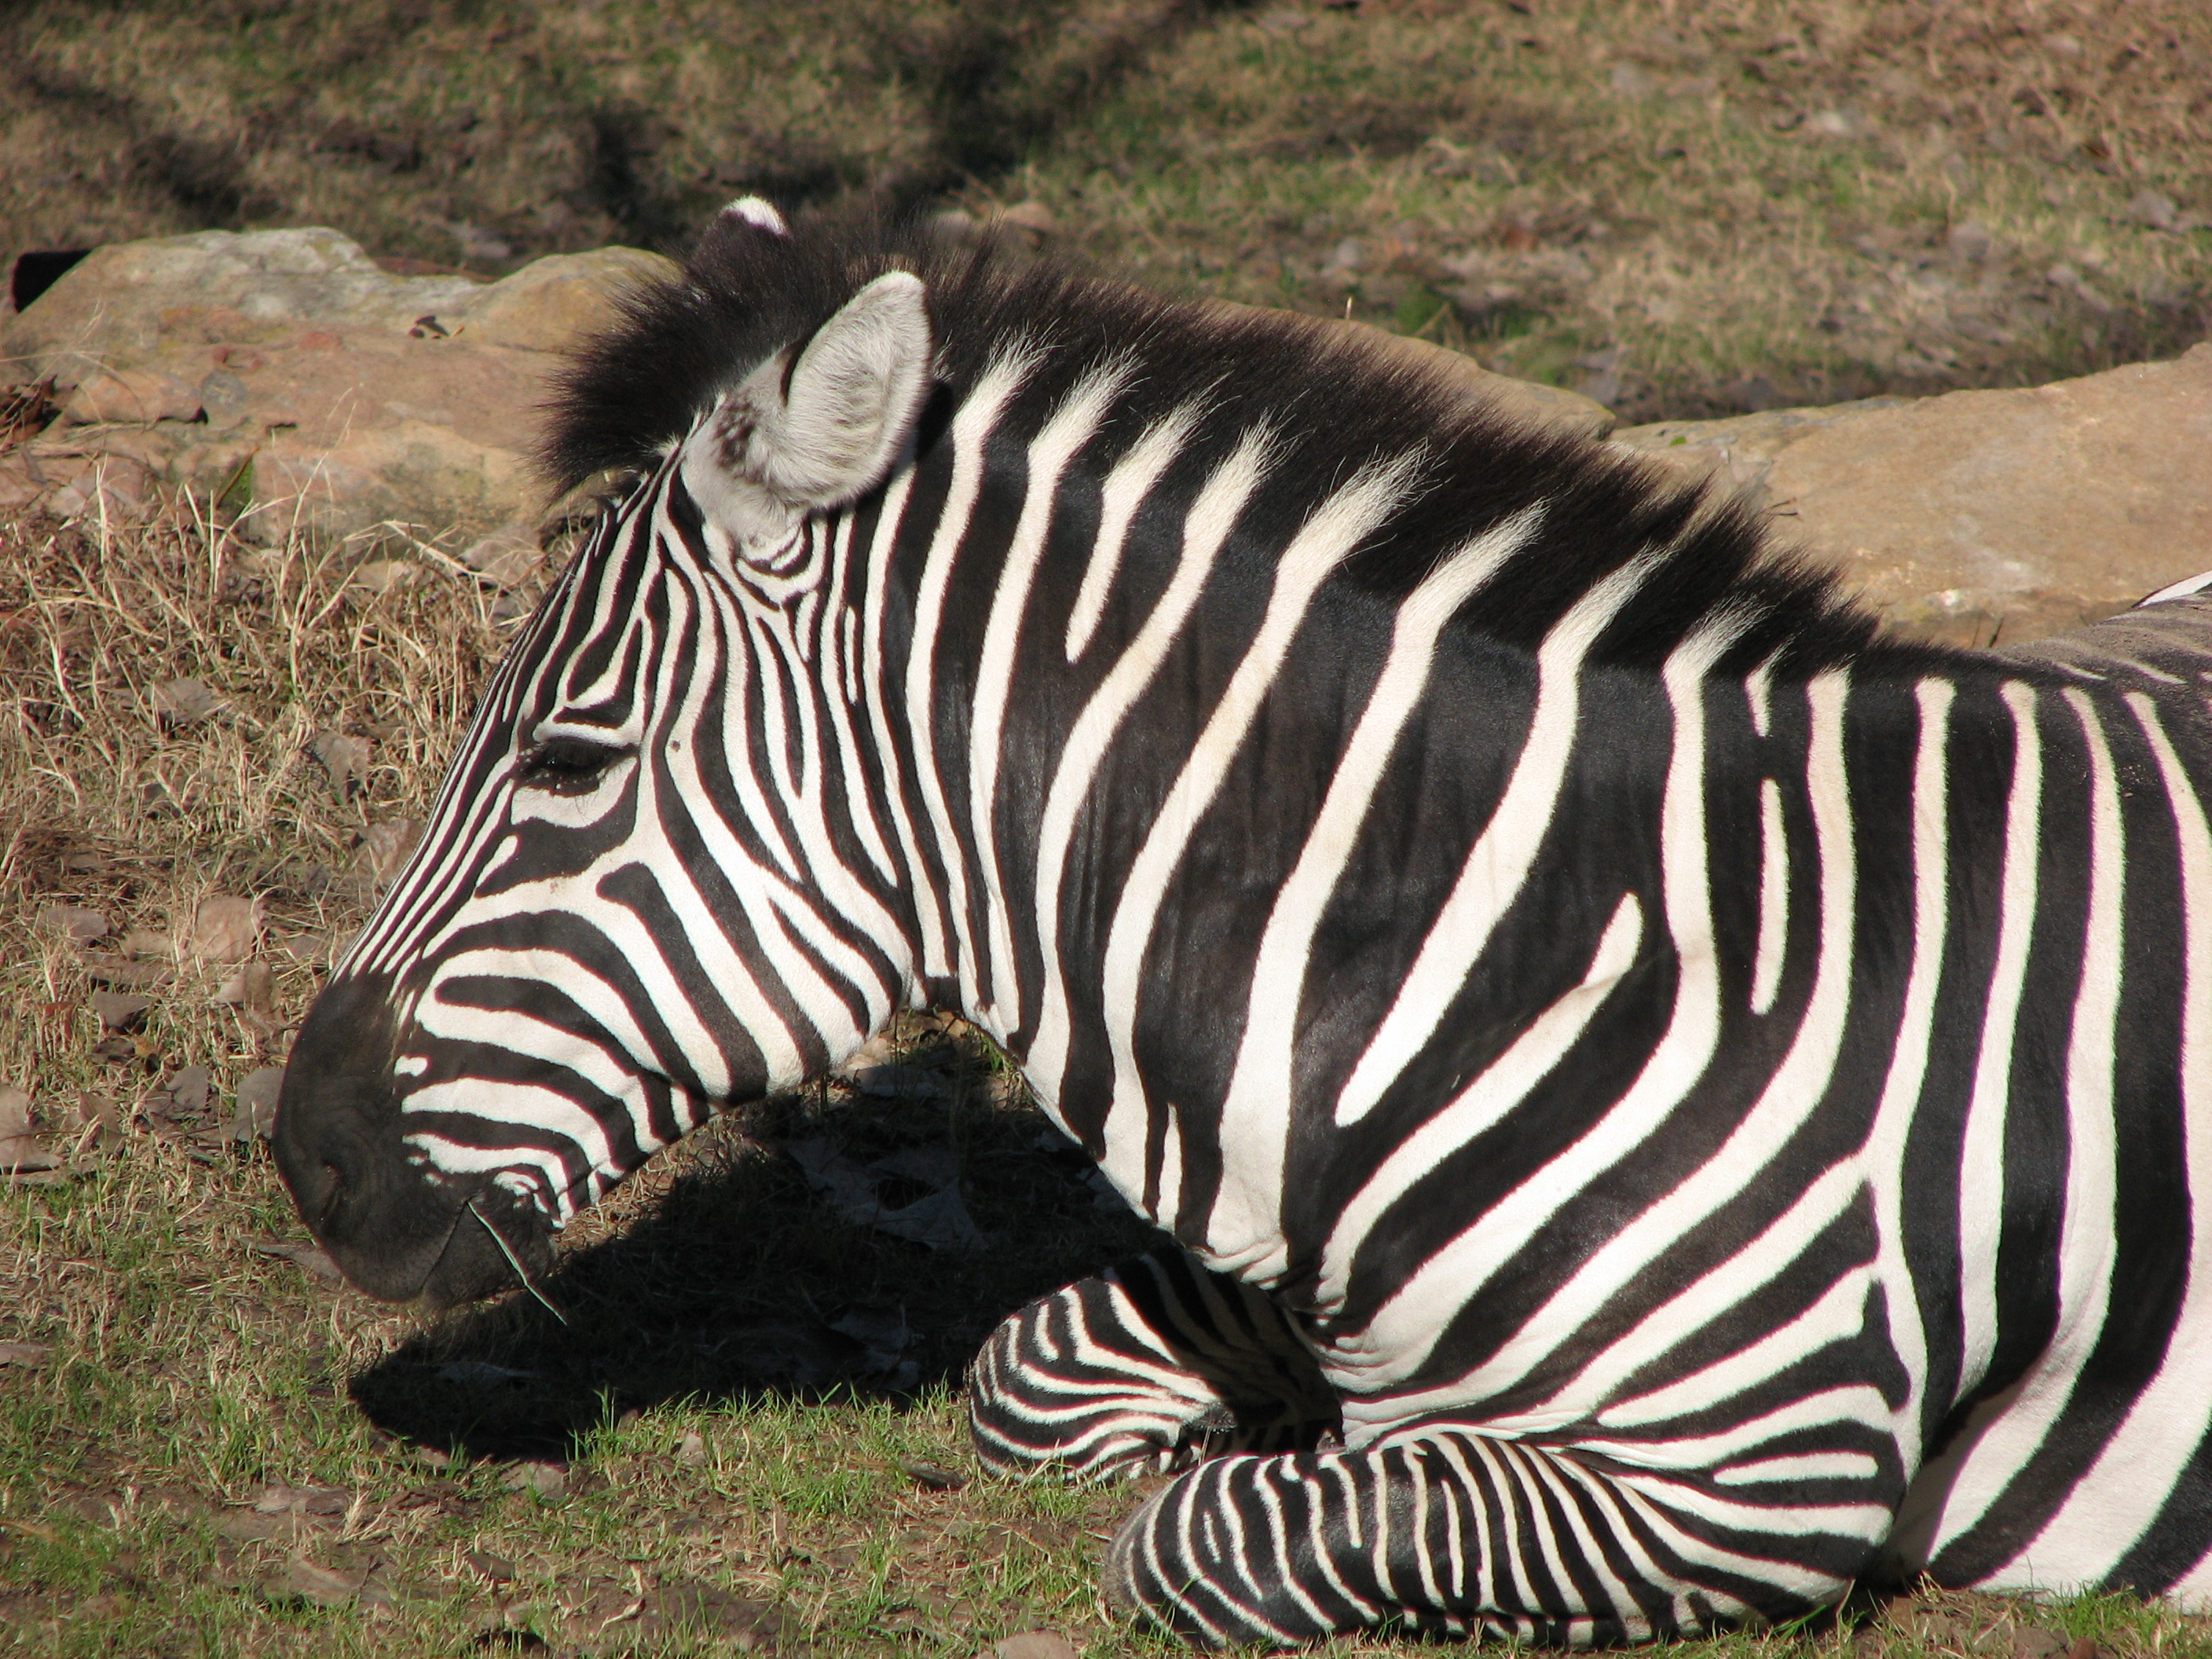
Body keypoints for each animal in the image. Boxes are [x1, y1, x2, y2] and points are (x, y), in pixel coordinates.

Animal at [272, 198, 2212, 1654]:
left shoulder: (1763, 1473)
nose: (305, 1156)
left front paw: (1245, 1482)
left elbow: (1203, 1543)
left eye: (567, 759)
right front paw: (1204, 1429)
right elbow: (1028, 1375)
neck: (1529, 961)